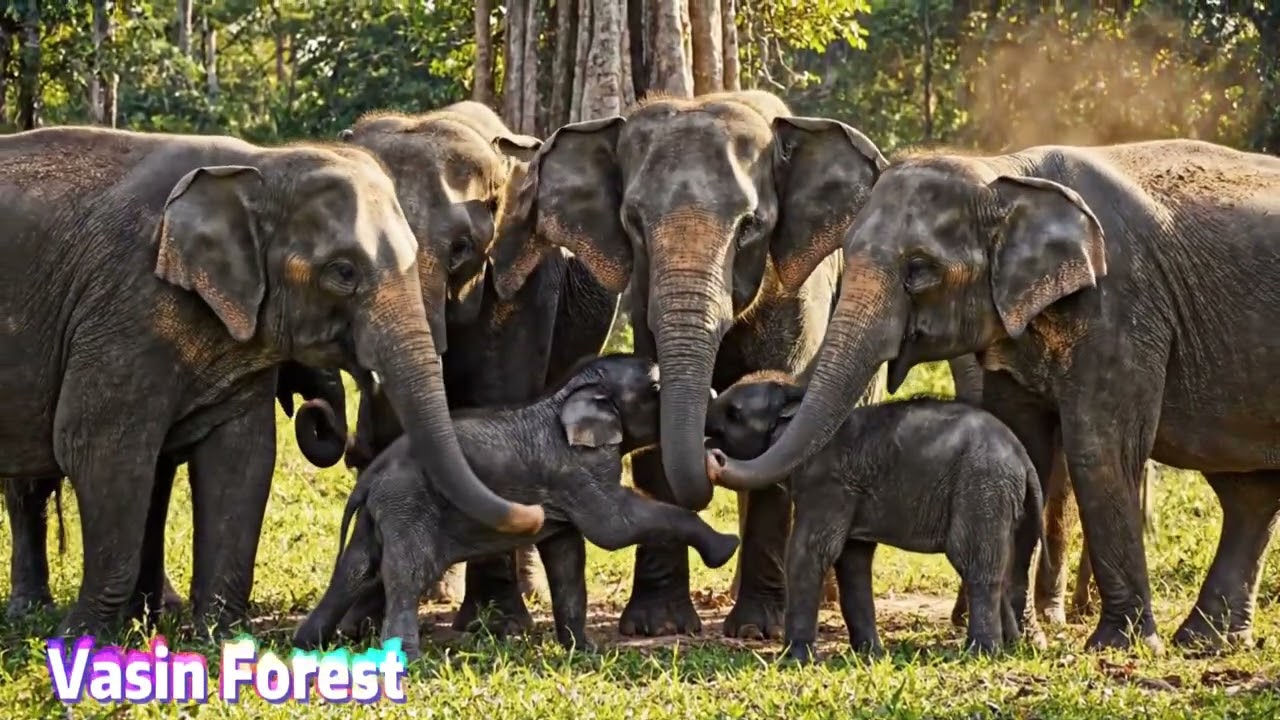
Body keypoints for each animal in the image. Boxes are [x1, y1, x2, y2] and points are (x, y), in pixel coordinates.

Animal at [293, 354, 739, 659]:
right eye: (657, 391)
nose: (715, 452)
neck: (569, 392)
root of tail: (373, 474)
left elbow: (567, 554)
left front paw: (585, 651)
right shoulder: (576, 468)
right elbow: (615, 528)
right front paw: (726, 546)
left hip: (384, 509)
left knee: (355, 567)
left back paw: (306, 645)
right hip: (408, 504)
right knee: (407, 571)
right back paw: (407, 658)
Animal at [320, 101, 619, 637]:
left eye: (461, 247)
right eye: (348, 266)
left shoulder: (524, 285)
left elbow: (498, 406)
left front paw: (496, 623)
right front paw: (365, 619)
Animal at [490, 90, 888, 639]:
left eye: (751, 226)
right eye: (634, 223)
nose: (711, 453)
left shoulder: (797, 294)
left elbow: (778, 430)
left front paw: (758, 629)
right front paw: (657, 624)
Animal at [705, 370, 1043, 659]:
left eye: (733, 413)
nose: (713, 454)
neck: (797, 400)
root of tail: (1023, 458)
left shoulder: (827, 483)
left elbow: (809, 551)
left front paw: (793, 660)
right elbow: (853, 560)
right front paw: (869, 655)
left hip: (980, 486)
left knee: (972, 560)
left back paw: (981, 652)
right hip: (997, 495)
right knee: (996, 561)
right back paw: (1010, 647)